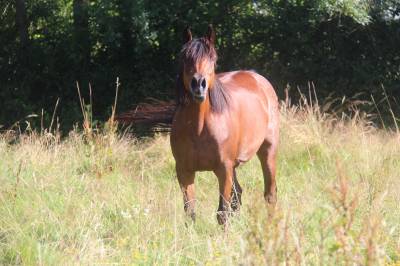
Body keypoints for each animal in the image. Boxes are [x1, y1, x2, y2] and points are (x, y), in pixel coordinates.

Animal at [169, 25, 278, 225]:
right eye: (185, 58)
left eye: (212, 59)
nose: (199, 84)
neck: (198, 129)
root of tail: (258, 79)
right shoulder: (184, 171)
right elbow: (190, 213)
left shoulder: (223, 169)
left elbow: (222, 212)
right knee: (238, 195)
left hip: (268, 151)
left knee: (270, 194)